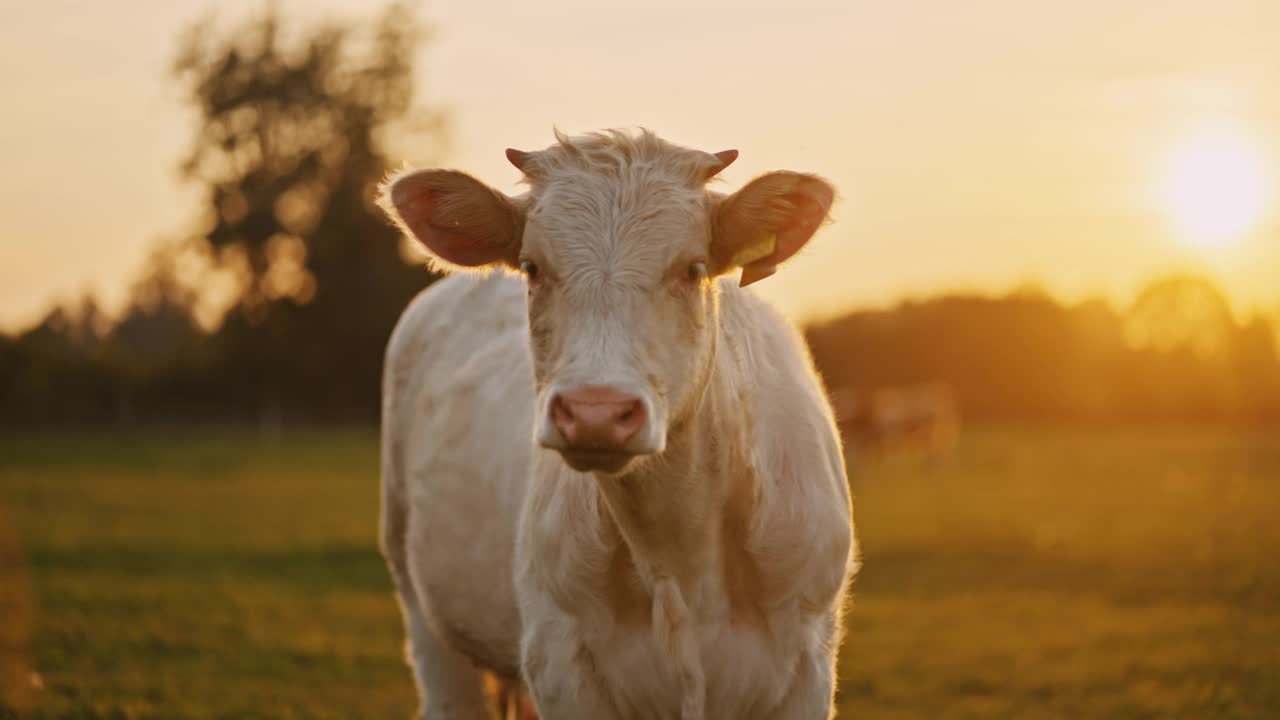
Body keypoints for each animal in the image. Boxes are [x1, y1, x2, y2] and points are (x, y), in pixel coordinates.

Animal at [378, 130, 860, 717]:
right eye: (532, 267)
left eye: (693, 268)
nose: (596, 412)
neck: (678, 557)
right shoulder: (559, 661)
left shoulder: (806, 666)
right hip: (425, 613)